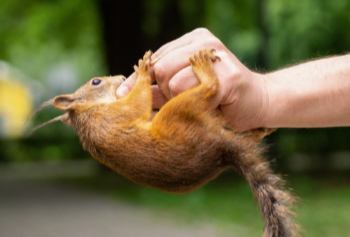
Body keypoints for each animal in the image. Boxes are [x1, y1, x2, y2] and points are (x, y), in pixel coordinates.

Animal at [30, 49, 300, 237]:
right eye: (96, 82)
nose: (121, 76)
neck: (89, 112)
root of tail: (221, 149)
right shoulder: (112, 115)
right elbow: (136, 104)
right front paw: (142, 71)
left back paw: (260, 127)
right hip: (176, 114)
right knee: (210, 91)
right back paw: (205, 72)